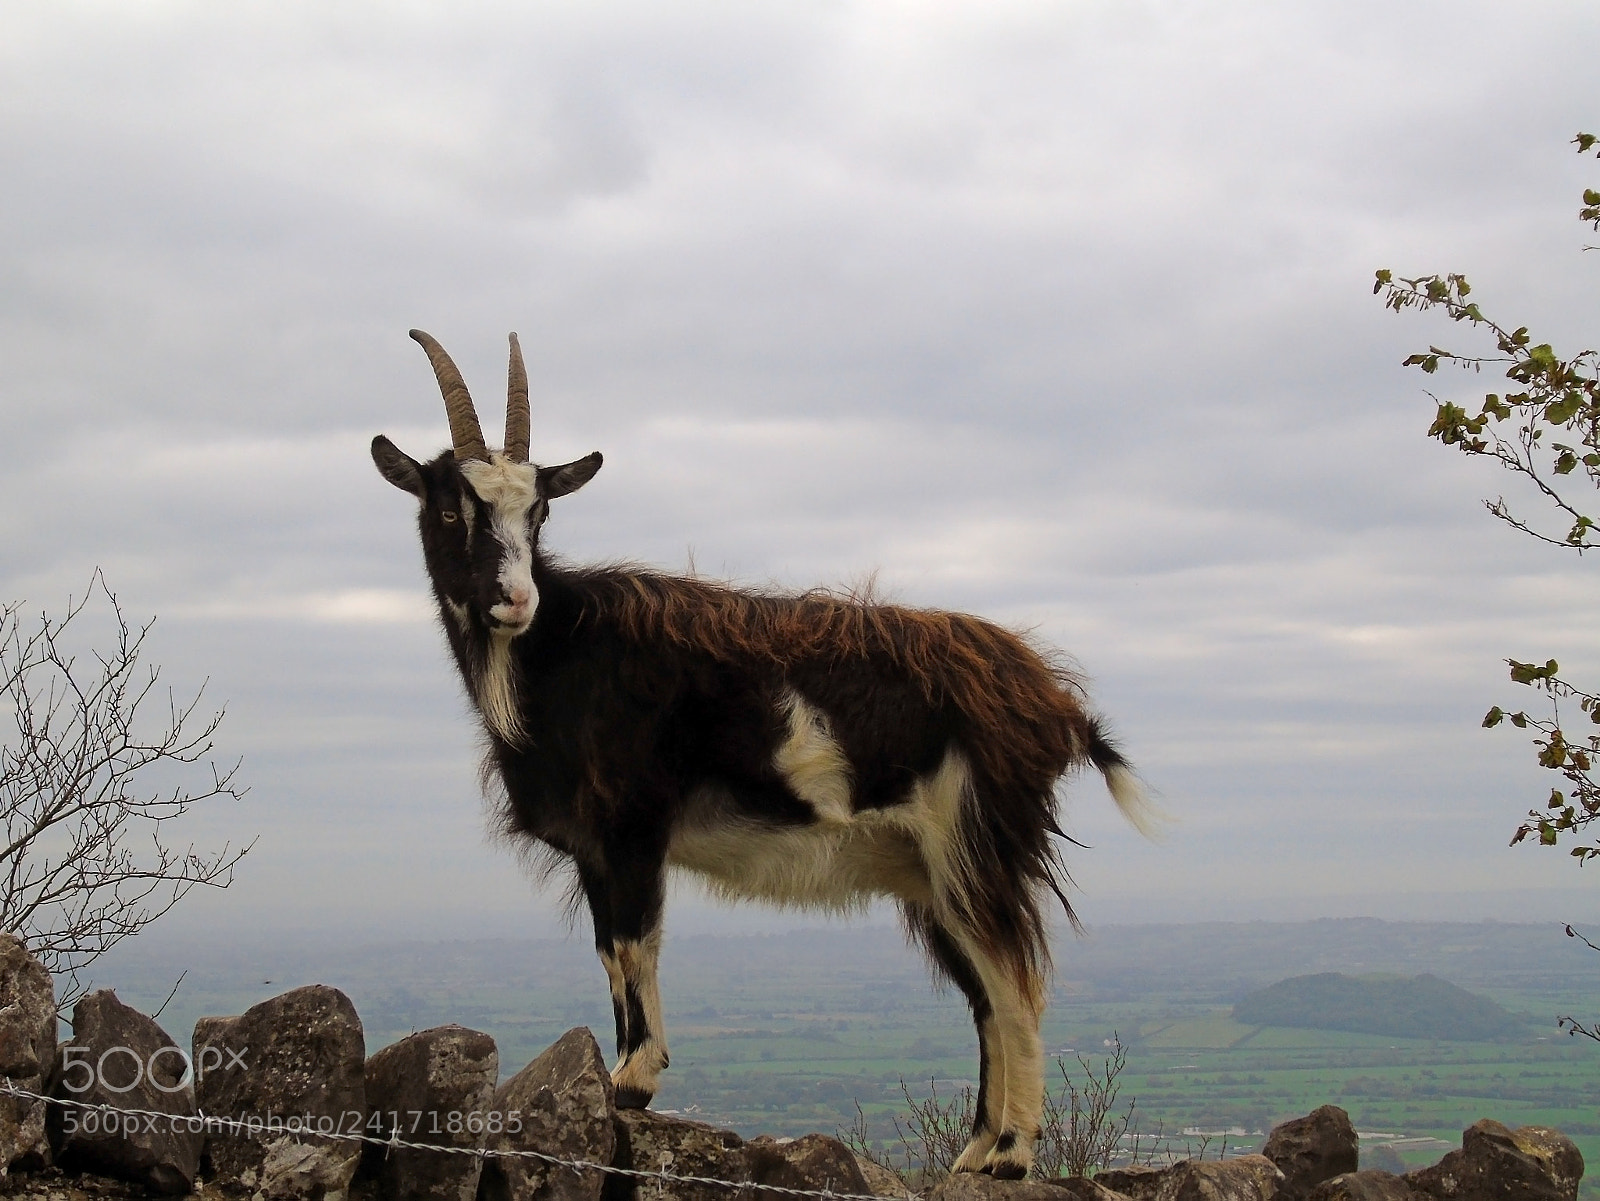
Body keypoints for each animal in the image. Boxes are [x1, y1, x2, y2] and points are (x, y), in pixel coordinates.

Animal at [371, 330, 1153, 1179]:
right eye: (451, 506)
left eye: (537, 510)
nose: (516, 599)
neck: (563, 651)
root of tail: (1053, 699)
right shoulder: (594, 848)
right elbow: (610, 949)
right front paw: (622, 1076)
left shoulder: (633, 827)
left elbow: (632, 942)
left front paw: (634, 1080)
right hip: (931, 870)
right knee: (984, 992)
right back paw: (974, 1152)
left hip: (978, 842)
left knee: (1014, 984)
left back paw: (1011, 1153)